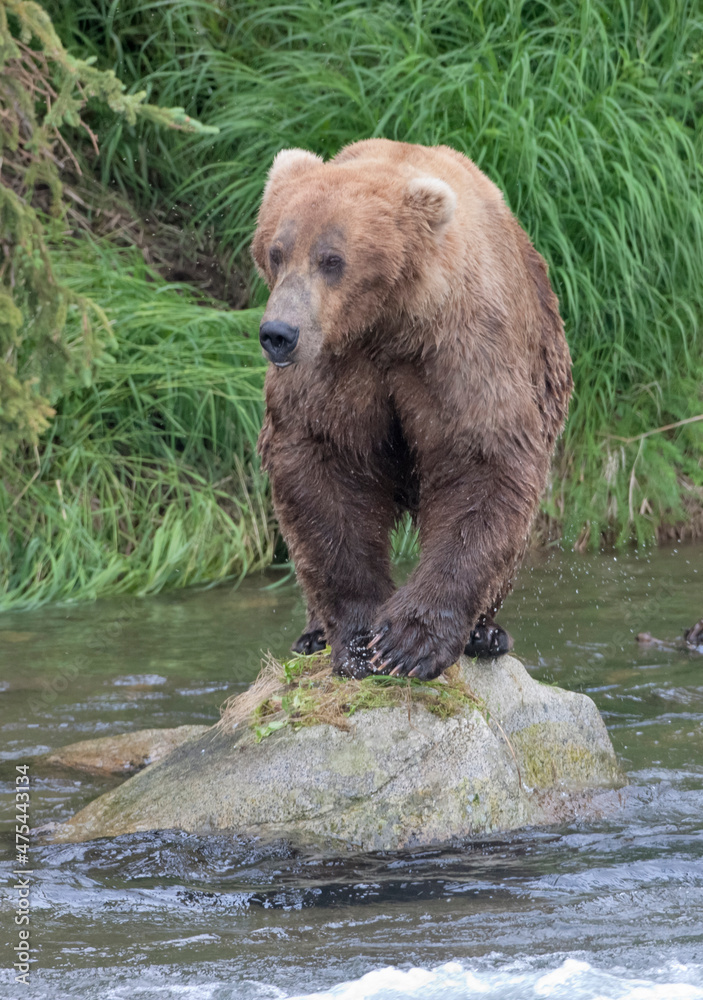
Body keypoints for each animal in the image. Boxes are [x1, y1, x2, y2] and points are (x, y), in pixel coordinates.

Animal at [252, 138, 572, 680]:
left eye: (332, 258)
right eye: (276, 251)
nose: (279, 333)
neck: (385, 323)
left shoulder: (458, 352)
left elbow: (482, 464)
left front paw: (407, 643)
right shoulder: (332, 371)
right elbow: (322, 475)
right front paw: (360, 641)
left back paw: (487, 633)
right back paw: (312, 634)